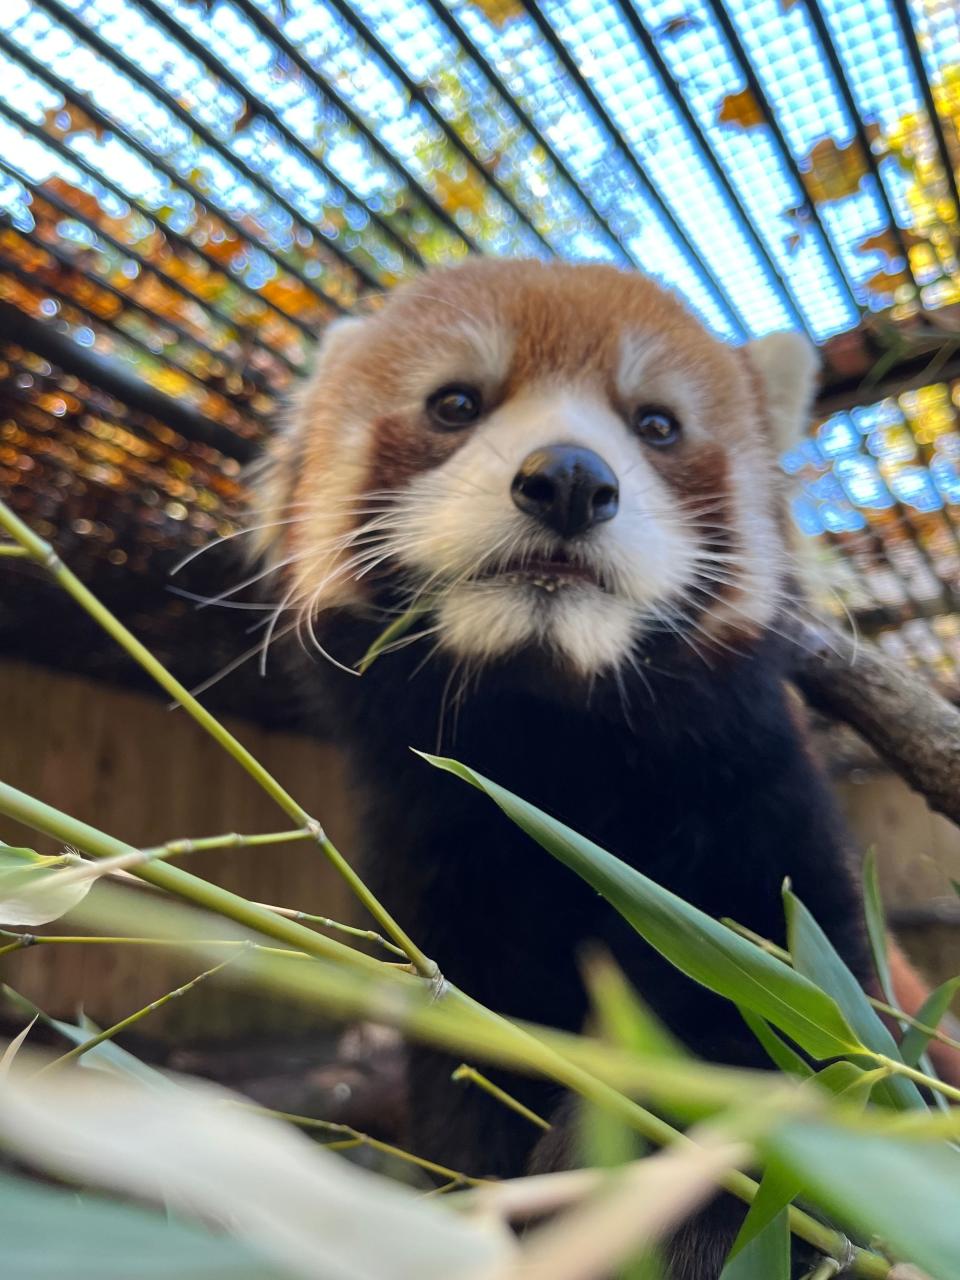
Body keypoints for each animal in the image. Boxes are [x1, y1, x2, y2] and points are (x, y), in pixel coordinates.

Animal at [249, 254, 885, 1274]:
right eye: (455, 403)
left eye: (656, 424)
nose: (570, 480)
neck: (555, 751)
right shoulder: (439, 866)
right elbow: (471, 1073)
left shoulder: (762, 821)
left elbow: (803, 1030)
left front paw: (669, 1186)